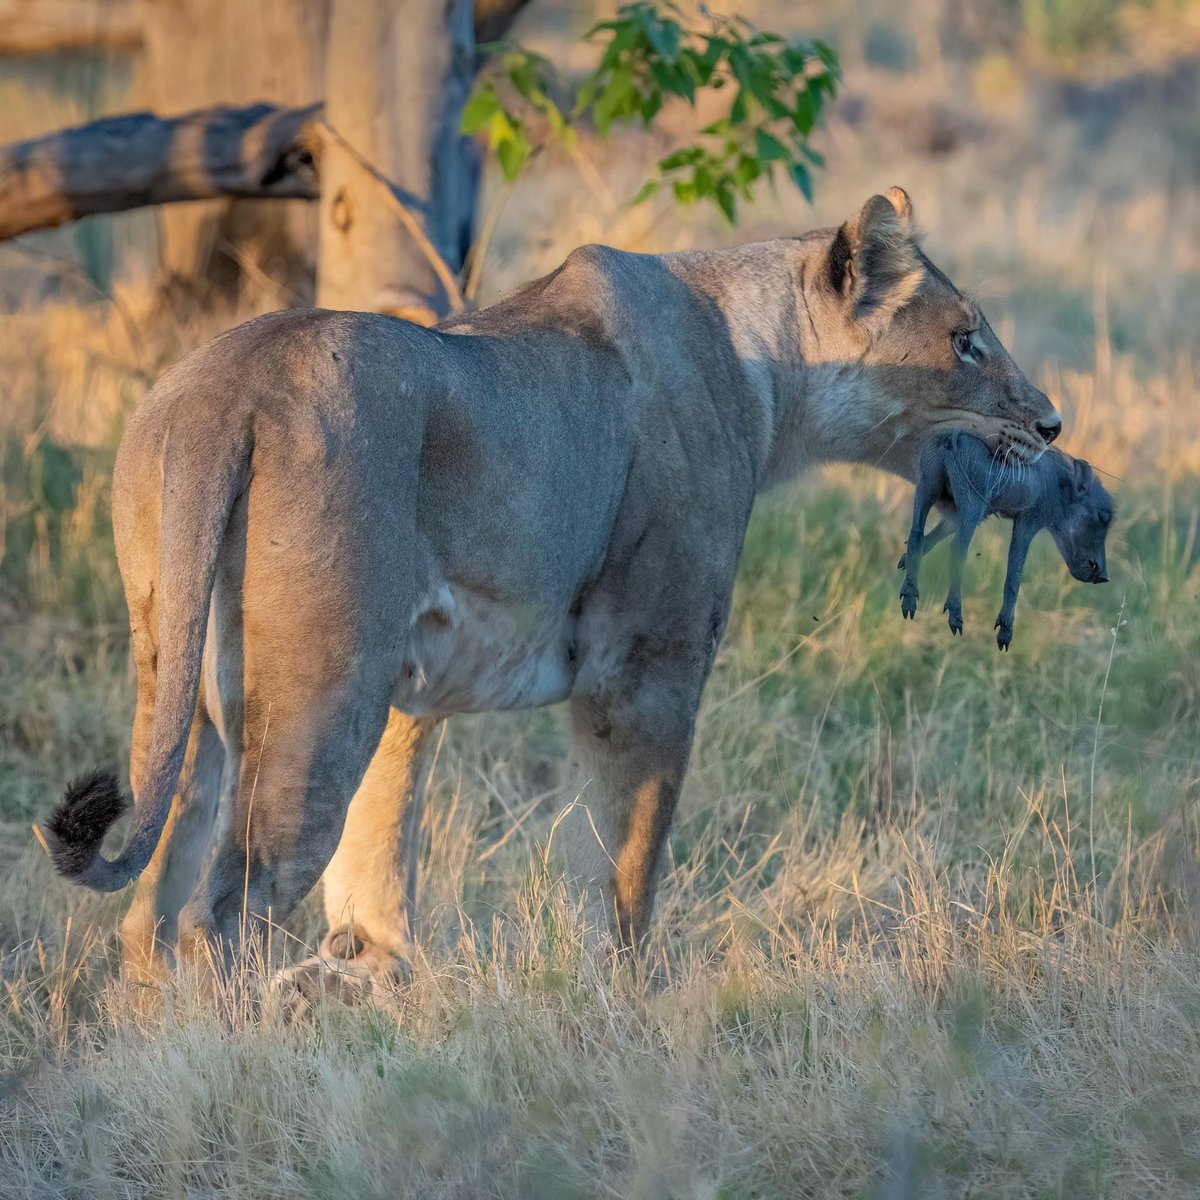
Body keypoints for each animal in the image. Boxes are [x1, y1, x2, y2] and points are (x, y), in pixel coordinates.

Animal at [39, 188, 1061, 996]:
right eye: (967, 342)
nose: (1054, 423)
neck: (767, 371)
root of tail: (227, 388)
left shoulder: (412, 690)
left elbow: (381, 839)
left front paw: (378, 975)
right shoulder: (647, 663)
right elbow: (626, 852)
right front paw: (623, 993)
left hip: (188, 685)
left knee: (150, 914)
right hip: (320, 693)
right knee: (222, 910)